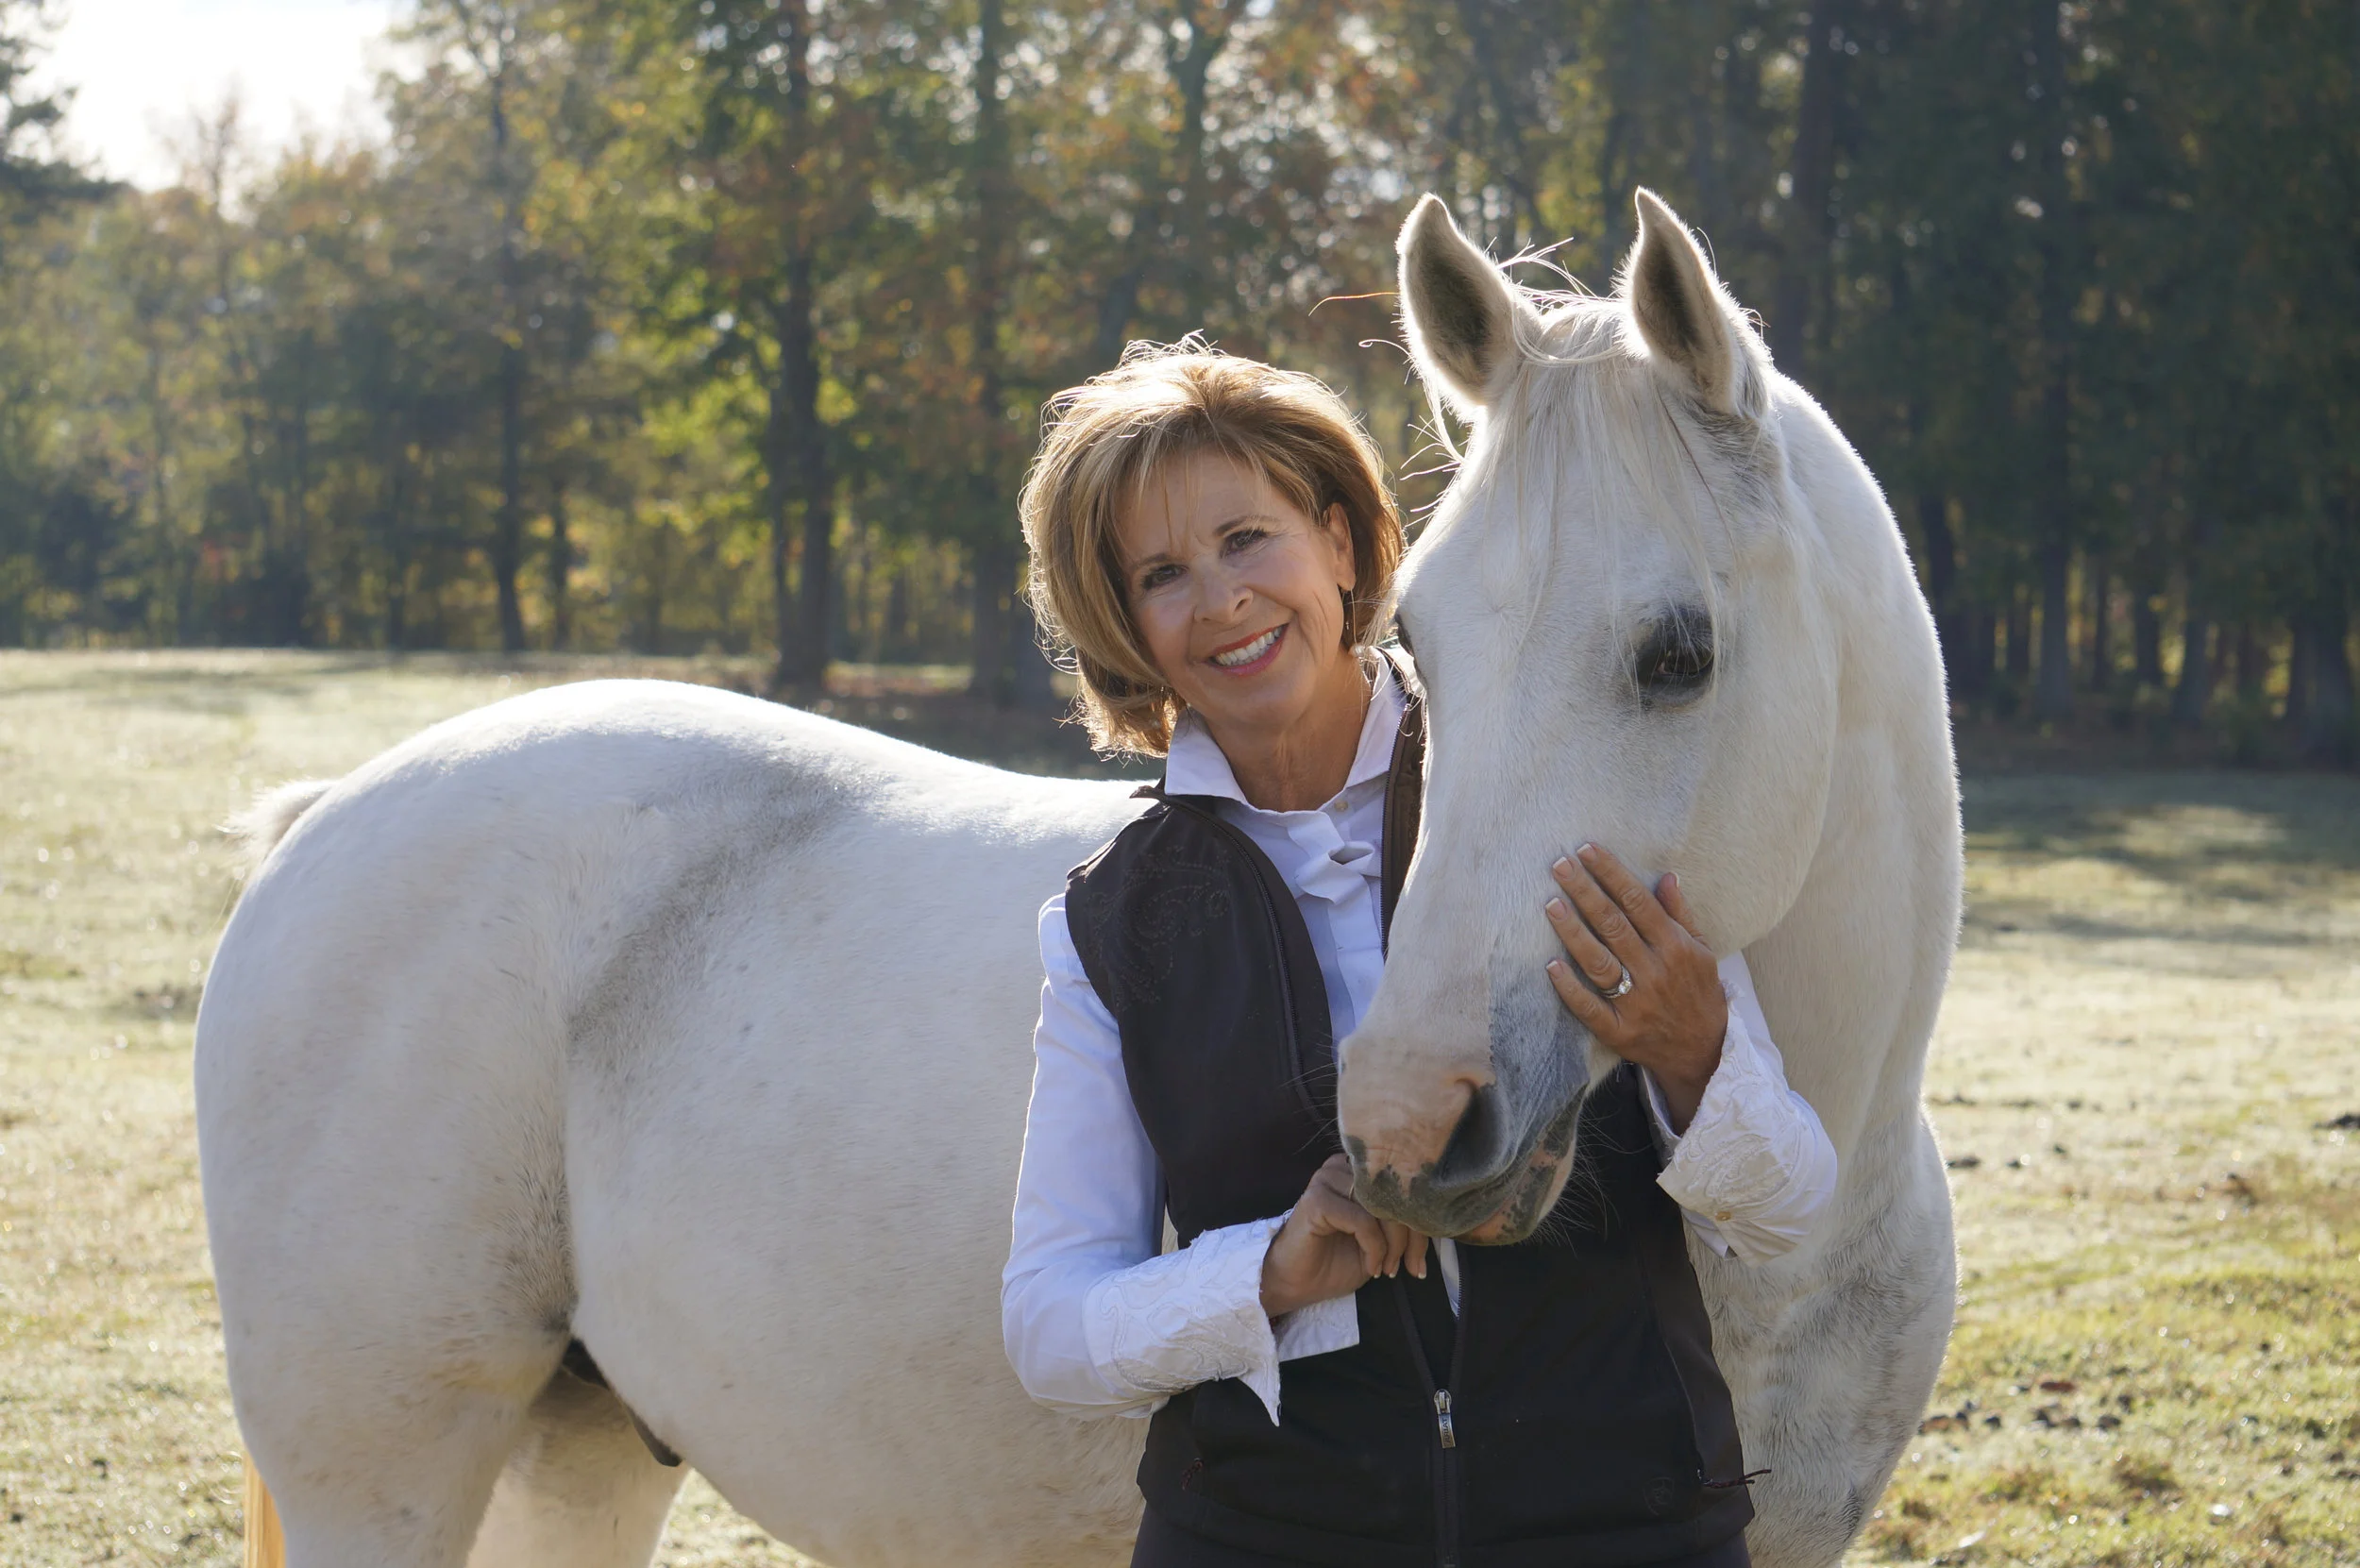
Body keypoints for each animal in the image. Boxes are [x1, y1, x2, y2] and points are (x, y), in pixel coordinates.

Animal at [198, 188, 1959, 1568]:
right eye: (1428, 645)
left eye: (1678, 656)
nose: (1400, 1124)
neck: (1803, 1215)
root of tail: (335, 817)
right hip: (390, 1479)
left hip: (575, 1460)